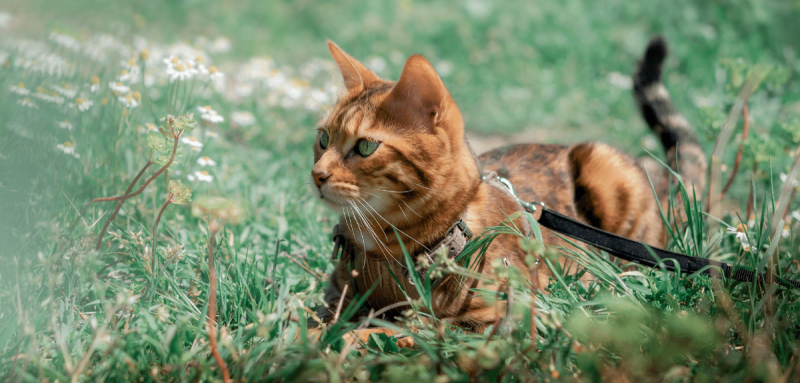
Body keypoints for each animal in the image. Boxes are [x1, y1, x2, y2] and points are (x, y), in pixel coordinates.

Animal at [312, 36, 708, 342]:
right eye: (323, 138)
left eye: (366, 146)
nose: (317, 174)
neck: (384, 250)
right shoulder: (335, 299)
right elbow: (317, 319)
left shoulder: (497, 317)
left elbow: (401, 328)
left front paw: (343, 340)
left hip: (607, 168)